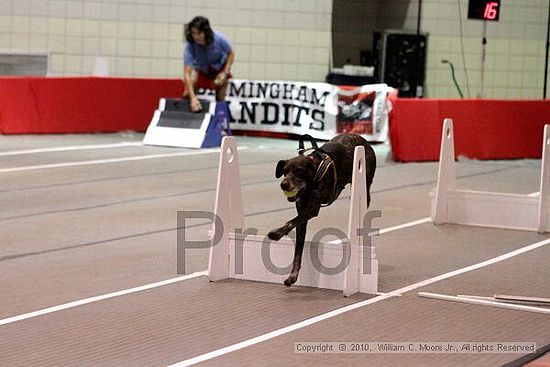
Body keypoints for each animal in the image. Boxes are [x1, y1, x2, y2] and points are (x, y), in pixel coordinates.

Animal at [270, 134, 378, 288]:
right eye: (284, 171)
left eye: (299, 171)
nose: (283, 184)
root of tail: (364, 141)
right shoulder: (302, 217)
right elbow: (298, 249)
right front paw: (292, 276)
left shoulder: (312, 209)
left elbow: (291, 221)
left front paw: (276, 233)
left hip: (364, 185)